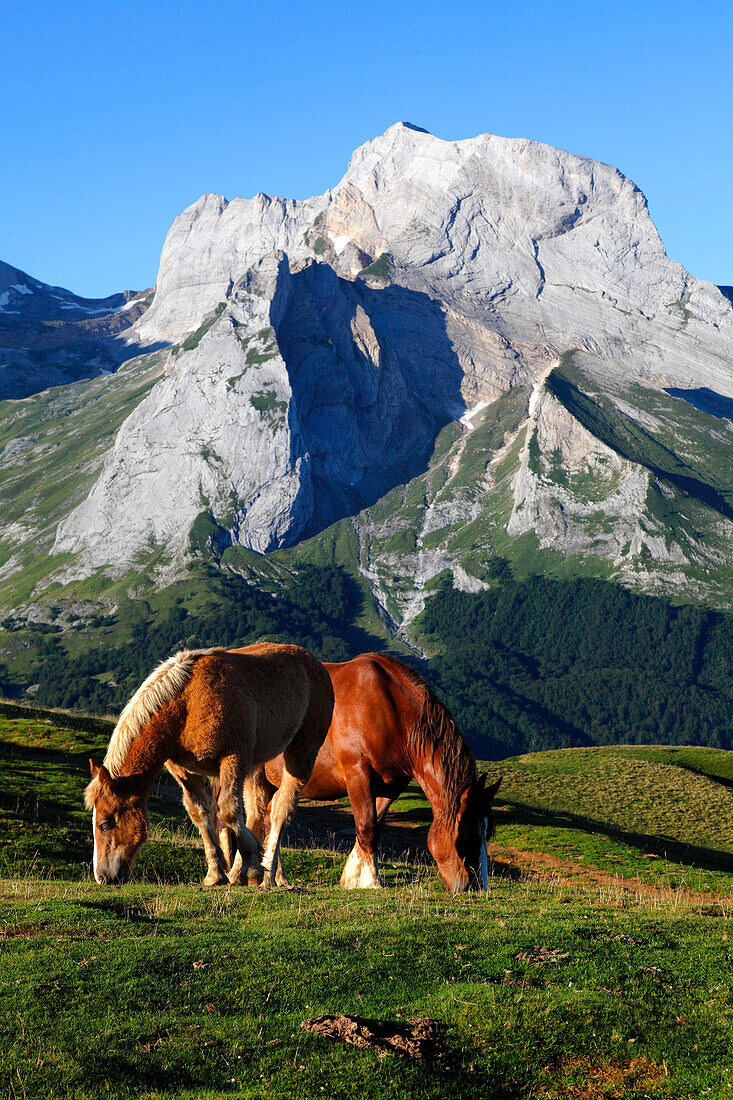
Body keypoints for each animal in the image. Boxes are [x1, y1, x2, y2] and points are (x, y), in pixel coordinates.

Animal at [85, 642, 334, 884]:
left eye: (105, 823)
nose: (102, 877)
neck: (186, 705)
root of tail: (314, 662)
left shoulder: (233, 758)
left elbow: (228, 810)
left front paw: (253, 864)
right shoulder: (184, 771)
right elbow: (200, 813)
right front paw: (216, 874)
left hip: (301, 753)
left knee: (281, 809)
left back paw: (267, 872)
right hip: (257, 766)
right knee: (257, 811)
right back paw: (242, 872)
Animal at [225, 651, 499, 893]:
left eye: (488, 833)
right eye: (467, 833)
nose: (475, 887)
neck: (390, 710)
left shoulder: (391, 786)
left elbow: (374, 825)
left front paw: (353, 875)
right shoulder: (358, 775)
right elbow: (366, 827)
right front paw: (370, 880)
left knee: (272, 816)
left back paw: (278, 876)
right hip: (255, 775)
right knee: (255, 817)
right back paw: (242, 872)